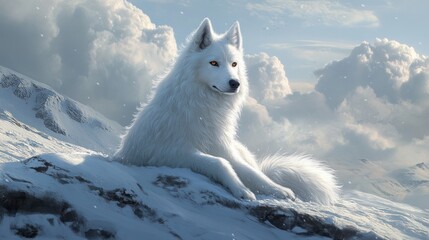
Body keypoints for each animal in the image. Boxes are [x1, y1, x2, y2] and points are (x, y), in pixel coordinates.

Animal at [113, 17, 338, 203]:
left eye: (234, 64)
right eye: (214, 63)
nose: (235, 83)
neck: (204, 108)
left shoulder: (222, 147)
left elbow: (250, 172)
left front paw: (277, 189)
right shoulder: (171, 152)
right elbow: (220, 164)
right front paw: (242, 190)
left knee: (256, 167)